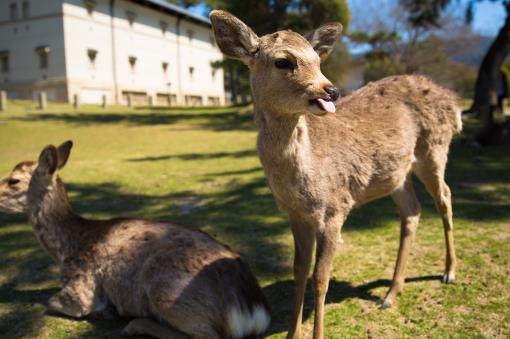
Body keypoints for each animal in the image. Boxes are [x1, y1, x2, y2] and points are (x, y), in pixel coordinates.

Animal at [0, 140, 270, 339]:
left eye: (13, 180)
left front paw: (105, 311)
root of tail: (253, 312)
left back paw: (133, 324)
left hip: (165, 289)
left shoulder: (80, 288)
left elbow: (51, 301)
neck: (65, 249)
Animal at [209, 9, 460, 339]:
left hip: (434, 149)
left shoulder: (336, 208)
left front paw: (316, 333)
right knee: (412, 210)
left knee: (445, 196)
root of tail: (454, 102)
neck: (305, 182)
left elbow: (320, 277)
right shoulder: (295, 215)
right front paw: (292, 334)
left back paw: (449, 272)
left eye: (318, 60)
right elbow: (299, 271)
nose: (331, 90)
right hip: (397, 173)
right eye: (283, 61)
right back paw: (391, 294)